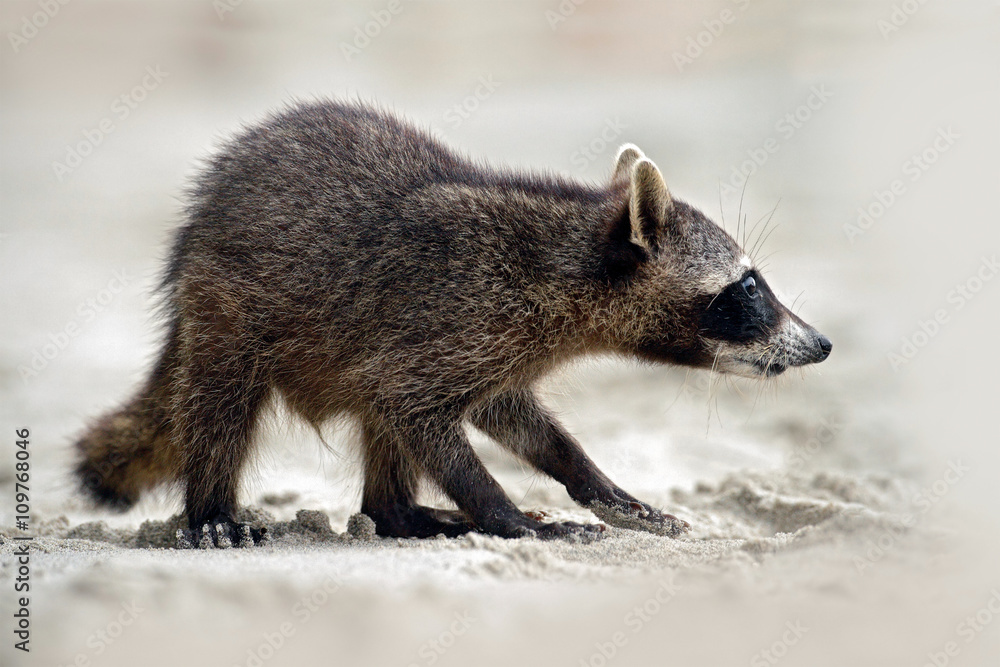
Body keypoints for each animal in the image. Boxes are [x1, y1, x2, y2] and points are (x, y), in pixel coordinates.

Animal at [73, 100, 831, 546]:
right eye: (747, 287)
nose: (822, 343)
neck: (565, 266)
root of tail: (191, 233)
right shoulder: (458, 316)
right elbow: (417, 411)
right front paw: (508, 515)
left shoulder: (499, 345)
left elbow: (515, 418)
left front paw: (594, 481)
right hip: (228, 305)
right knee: (221, 402)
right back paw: (212, 509)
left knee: (372, 416)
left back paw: (398, 512)